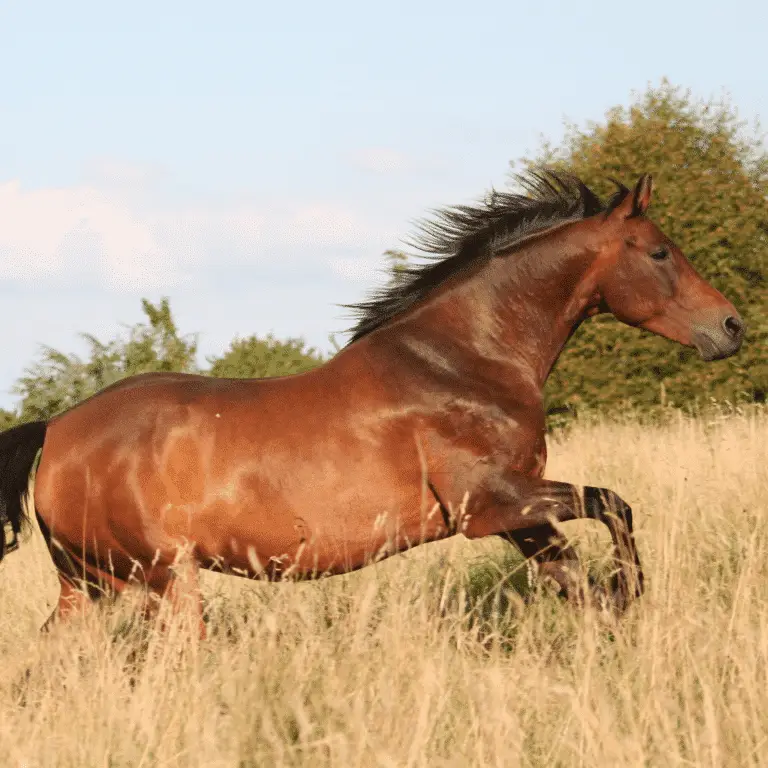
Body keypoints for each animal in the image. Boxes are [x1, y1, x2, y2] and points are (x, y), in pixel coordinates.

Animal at [0, 168, 748, 632]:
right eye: (659, 252)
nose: (732, 326)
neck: (465, 361)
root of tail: (57, 430)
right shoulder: (492, 504)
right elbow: (615, 504)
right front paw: (630, 591)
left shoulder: (520, 516)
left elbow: (580, 581)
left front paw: (614, 614)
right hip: (164, 580)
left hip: (90, 588)